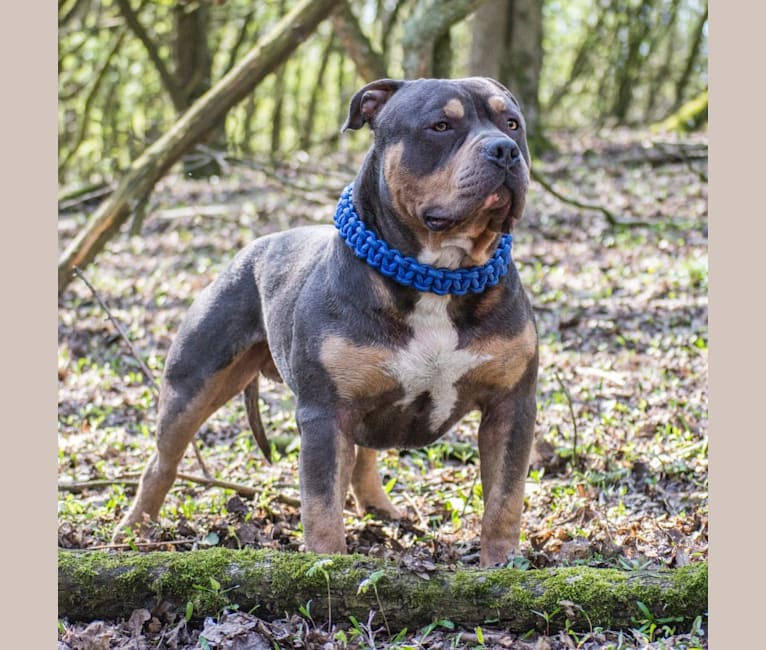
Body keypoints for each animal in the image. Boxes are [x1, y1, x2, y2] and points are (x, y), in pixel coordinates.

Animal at [117, 76, 544, 564]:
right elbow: (321, 505)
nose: (504, 150)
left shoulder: (511, 406)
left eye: (512, 124)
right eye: (440, 126)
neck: (440, 276)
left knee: (364, 456)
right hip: (191, 386)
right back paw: (134, 529)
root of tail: (252, 247)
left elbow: (505, 498)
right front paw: (328, 563)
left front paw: (502, 564)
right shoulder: (325, 413)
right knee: (162, 462)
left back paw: (380, 509)